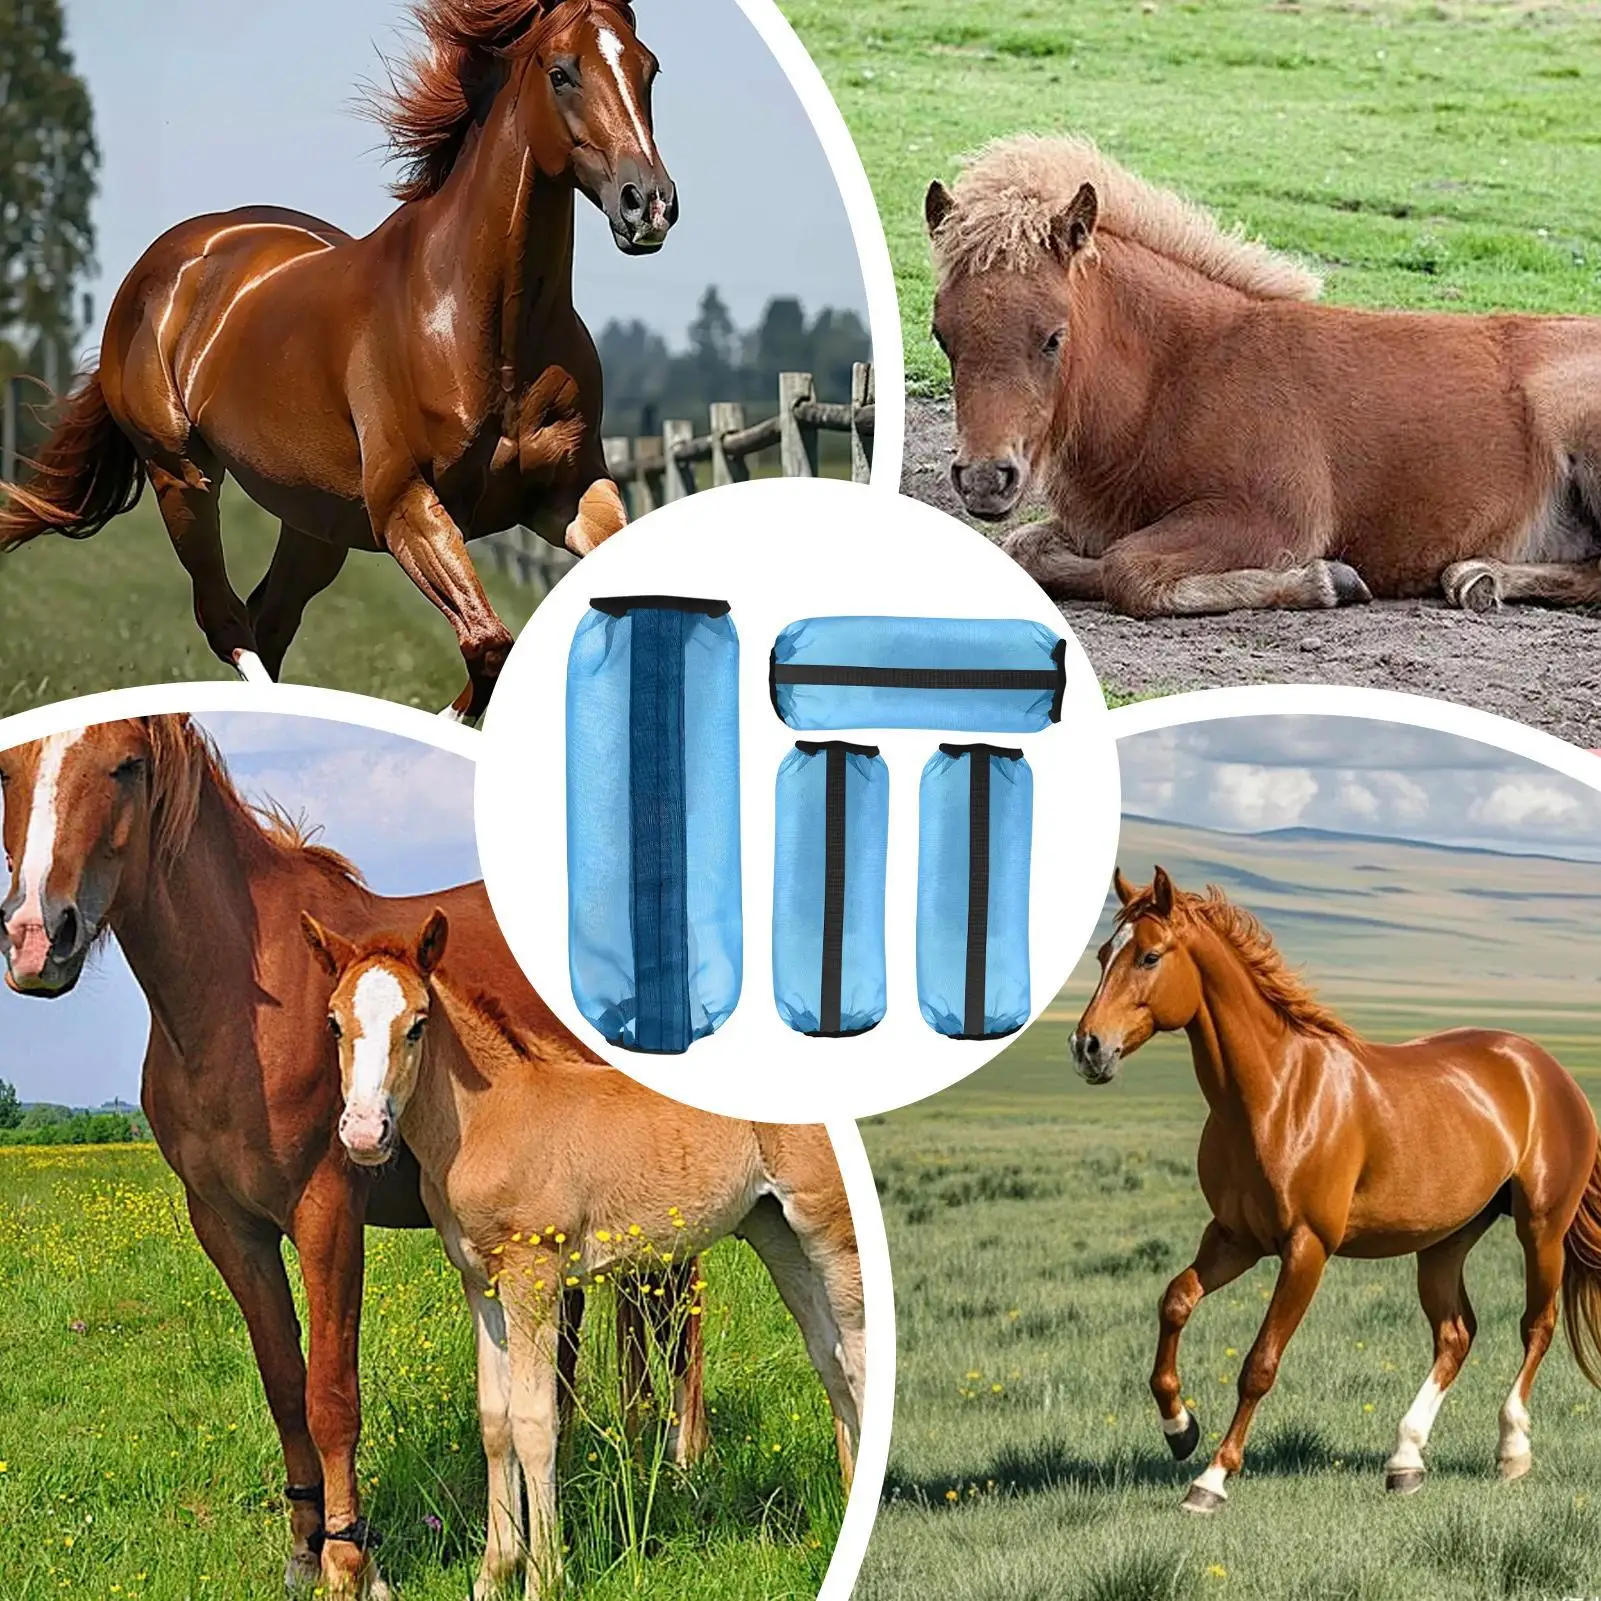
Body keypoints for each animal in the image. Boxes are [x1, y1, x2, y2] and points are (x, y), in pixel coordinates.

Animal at [0, 0, 675, 720]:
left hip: (315, 521)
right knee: (226, 619)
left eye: (648, 69)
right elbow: (490, 644)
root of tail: (168, 261)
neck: (488, 332)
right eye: (561, 73)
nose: (649, 203)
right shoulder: (406, 507)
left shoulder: (571, 492)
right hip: (181, 476)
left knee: (268, 618)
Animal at [0, 714, 705, 1597]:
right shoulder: (228, 1225)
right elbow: (284, 1384)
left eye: (126, 764)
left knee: (679, 1313)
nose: (37, 938)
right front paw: (305, 1545)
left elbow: (331, 1391)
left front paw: (349, 1560)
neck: (244, 1000)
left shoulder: (327, 1209)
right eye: (6, 769)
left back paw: (679, 1461)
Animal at [301, 909, 865, 1598]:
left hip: (829, 1229)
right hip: (777, 1233)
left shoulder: (534, 1276)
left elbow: (535, 1422)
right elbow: (495, 1420)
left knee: (857, 1357)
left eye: (418, 1023)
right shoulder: (480, 1282)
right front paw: (494, 1574)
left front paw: (543, 1578)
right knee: (830, 1357)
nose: (364, 1133)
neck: (489, 1117)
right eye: (334, 1021)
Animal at [925, 135, 1601, 621]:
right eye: (942, 336)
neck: (1178, 377)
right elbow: (1027, 550)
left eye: (1053, 337)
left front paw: (1326, 580)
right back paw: (1475, 576)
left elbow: (1129, 571)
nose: (984, 478)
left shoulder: (1270, 517)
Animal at [1070, 867, 1601, 1514]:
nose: (1088, 1047)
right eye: (1103, 954)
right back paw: (1405, 1460)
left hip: (1540, 1227)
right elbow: (1174, 1301)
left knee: (1535, 1326)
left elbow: (1259, 1364)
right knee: (1455, 1335)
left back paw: (1512, 1449)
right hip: (1445, 1239)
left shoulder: (1306, 1249)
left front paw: (1212, 1479)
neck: (1276, 1095)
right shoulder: (1234, 1238)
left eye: (1149, 956)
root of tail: (1545, 1069)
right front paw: (1179, 1428)